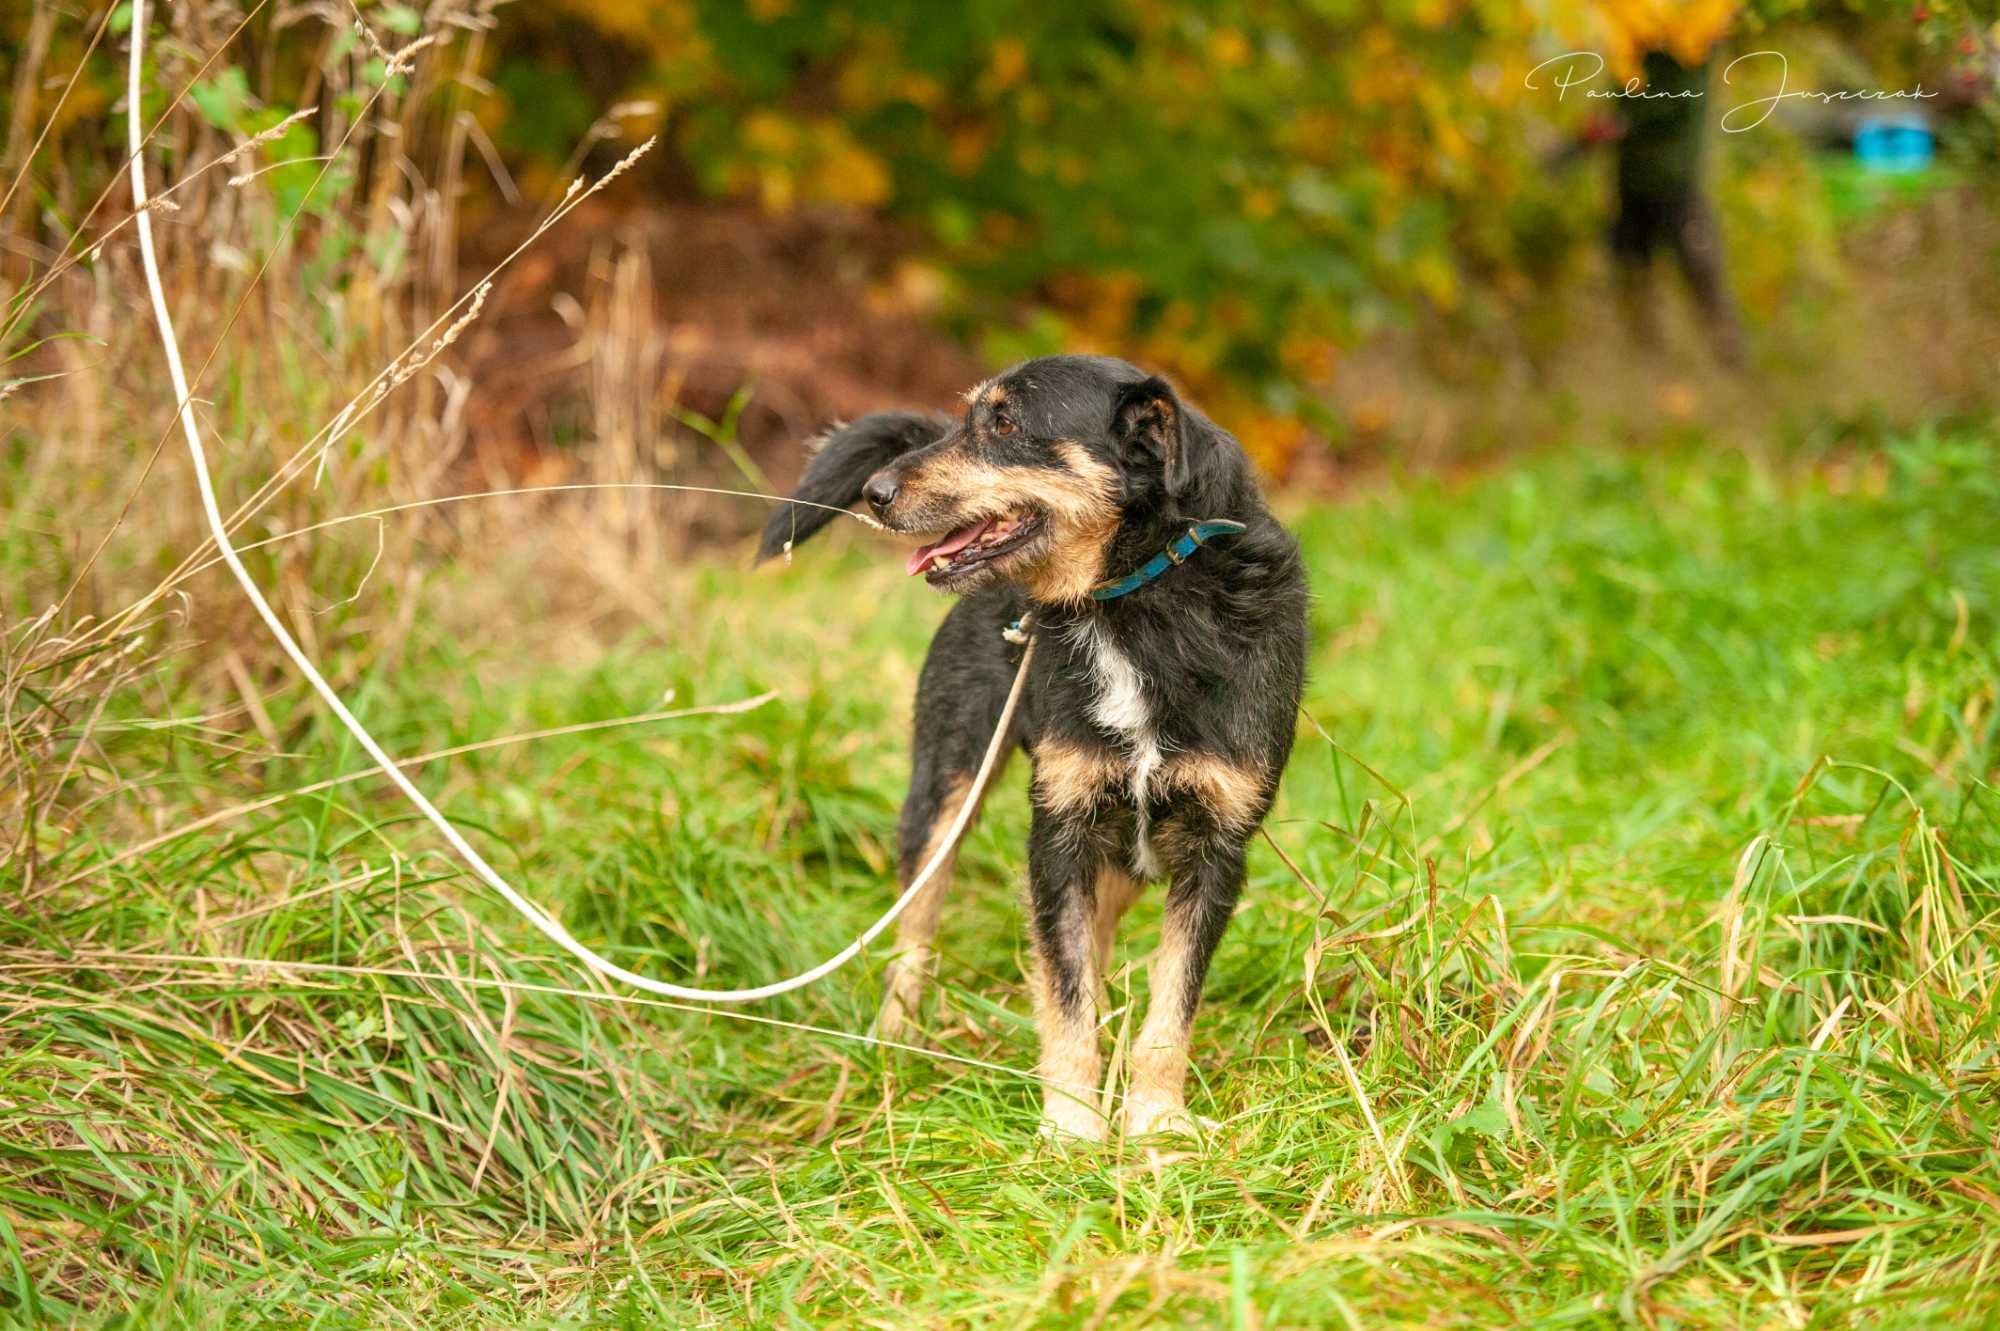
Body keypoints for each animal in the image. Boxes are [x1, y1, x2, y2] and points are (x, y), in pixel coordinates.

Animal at [756, 355, 1304, 1143]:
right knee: (914, 937)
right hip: (946, 791)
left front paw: (1154, 1123)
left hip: (1121, 855)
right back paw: (895, 1047)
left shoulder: (1216, 848)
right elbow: (1065, 991)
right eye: (971, 417)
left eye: (1007, 423)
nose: (876, 493)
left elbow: (1172, 1002)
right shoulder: (1059, 831)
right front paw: (1072, 1127)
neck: (1135, 603)